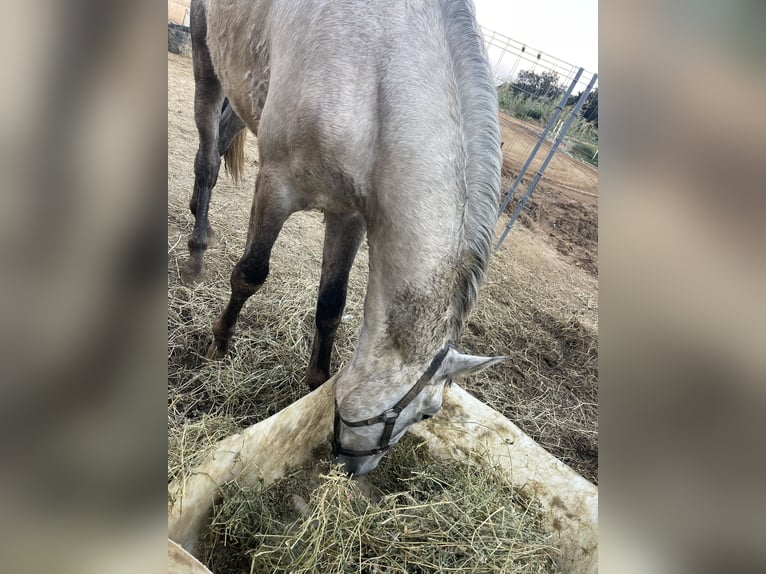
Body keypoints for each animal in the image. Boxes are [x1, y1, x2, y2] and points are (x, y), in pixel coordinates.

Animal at [188, 0, 506, 475]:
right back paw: (196, 250)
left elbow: (331, 307)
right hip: (205, 60)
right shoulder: (277, 187)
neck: (374, 78)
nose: (357, 469)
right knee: (207, 157)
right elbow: (250, 274)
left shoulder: (349, 215)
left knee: (225, 134)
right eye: (428, 412)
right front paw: (219, 346)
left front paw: (313, 386)